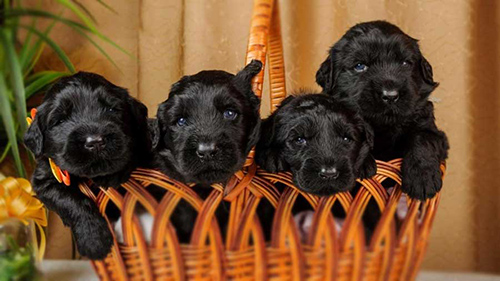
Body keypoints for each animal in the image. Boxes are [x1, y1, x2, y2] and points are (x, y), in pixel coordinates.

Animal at [24, 72, 150, 258]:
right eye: (60, 120)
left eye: (112, 109)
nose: (95, 141)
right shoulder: (44, 179)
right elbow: (71, 201)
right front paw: (94, 241)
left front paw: (111, 175)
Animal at [318, 20, 452, 199]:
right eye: (360, 66)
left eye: (405, 63)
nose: (390, 95)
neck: (383, 127)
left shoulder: (432, 130)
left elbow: (422, 138)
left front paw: (422, 178)